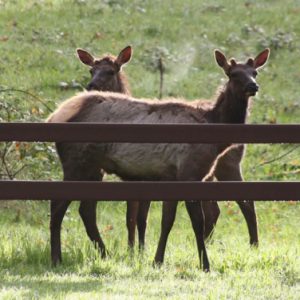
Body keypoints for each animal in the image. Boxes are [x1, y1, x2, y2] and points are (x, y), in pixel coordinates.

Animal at [47, 48, 270, 270]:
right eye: (233, 74)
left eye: (254, 72)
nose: (253, 86)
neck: (214, 129)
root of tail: (54, 116)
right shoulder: (189, 172)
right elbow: (196, 222)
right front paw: (205, 264)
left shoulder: (172, 177)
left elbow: (167, 221)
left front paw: (157, 260)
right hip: (77, 163)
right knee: (58, 205)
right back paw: (57, 258)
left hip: (94, 168)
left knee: (85, 210)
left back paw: (103, 254)